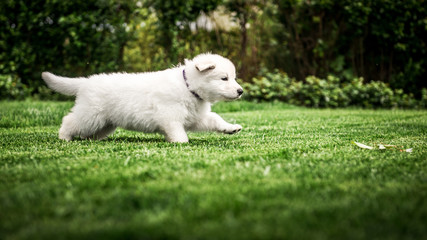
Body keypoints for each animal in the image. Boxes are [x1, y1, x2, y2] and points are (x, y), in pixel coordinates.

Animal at [42, 53, 244, 142]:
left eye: (234, 78)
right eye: (224, 78)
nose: (241, 91)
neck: (188, 87)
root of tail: (86, 82)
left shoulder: (196, 117)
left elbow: (215, 119)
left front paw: (231, 128)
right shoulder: (170, 116)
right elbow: (178, 133)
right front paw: (181, 143)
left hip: (105, 123)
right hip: (90, 115)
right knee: (69, 120)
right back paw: (64, 137)